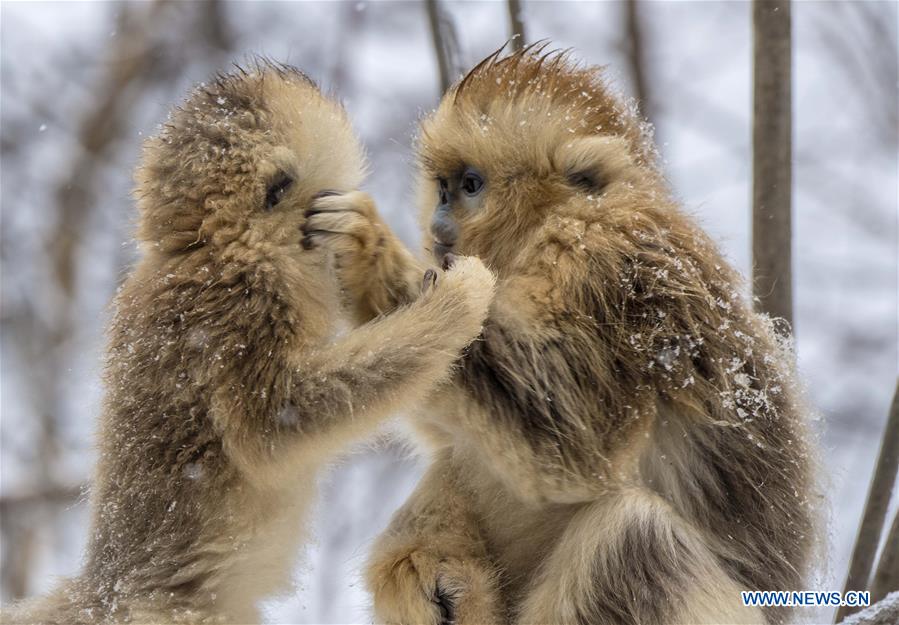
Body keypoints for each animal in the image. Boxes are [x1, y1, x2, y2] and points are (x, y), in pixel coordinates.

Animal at [0, 63, 496, 624]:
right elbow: (272, 425)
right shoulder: (246, 304)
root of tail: (106, 592)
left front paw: (361, 235)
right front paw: (458, 303)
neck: (209, 246)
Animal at [306, 47, 820, 624]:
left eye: (470, 186)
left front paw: (367, 252)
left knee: (632, 533)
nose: (438, 228)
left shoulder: (605, 264)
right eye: (442, 188)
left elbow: (572, 445)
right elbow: (452, 428)